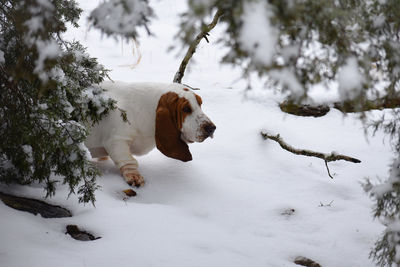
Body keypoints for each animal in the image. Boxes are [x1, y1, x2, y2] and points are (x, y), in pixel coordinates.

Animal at [85, 82, 216, 188]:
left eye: (200, 104)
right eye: (186, 109)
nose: (212, 128)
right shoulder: (117, 140)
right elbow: (128, 161)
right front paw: (134, 177)